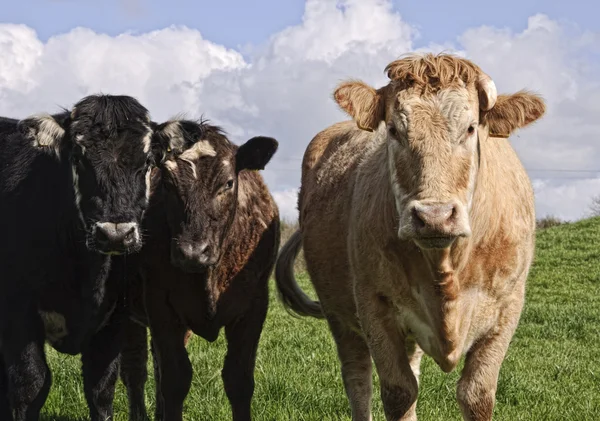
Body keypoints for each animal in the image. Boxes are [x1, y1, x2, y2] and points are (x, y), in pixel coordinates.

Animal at [0, 94, 161, 420]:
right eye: (78, 159)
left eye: (148, 162)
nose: (115, 234)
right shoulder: (16, 311)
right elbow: (30, 384)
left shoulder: (115, 318)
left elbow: (101, 388)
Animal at [118, 118, 280, 420]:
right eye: (167, 183)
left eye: (228, 183)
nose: (192, 252)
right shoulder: (159, 304)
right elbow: (175, 379)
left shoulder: (255, 305)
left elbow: (239, 380)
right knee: (136, 371)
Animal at [274, 53, 548, 420]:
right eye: (393, 130)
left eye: (470, 128)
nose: (434, 215)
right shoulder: (374, 305)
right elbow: (398, 392)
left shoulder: (507, 307)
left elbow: (476, 394)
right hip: (340, 316)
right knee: (357, 378)